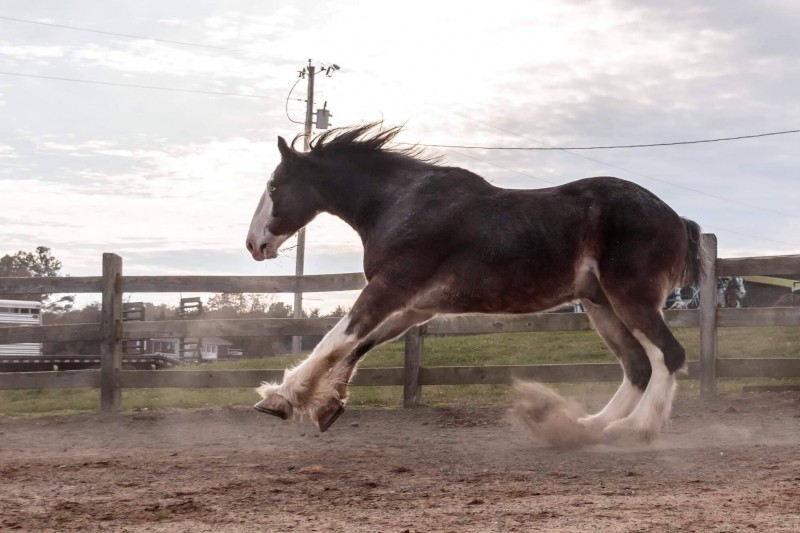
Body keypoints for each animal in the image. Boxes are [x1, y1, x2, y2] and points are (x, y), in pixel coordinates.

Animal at [245, 123, 706, 442]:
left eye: (274, 185)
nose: (254, 244)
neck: (401, 203)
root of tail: (677, 219)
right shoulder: (415, 307)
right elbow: (356, 346)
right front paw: (324, 405)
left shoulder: (389, 288)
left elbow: (334, 341)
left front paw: (281, 397)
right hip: (600, 306)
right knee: (638, 365)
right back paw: (587, 426)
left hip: (630, 297)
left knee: (668, 354)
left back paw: (634, 430)